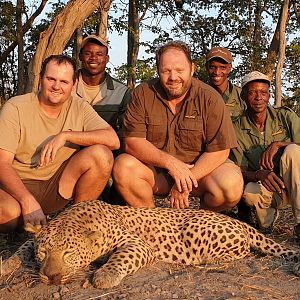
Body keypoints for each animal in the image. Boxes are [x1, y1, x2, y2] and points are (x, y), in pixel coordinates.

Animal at [1, 199, 298, 288]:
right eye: (44, 252)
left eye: (69, 253)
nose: (51, 277)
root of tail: (240, 222)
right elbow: (22, 248)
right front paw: (5, 265)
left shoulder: (136, 244)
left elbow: (120, 258)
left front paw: (104, 276)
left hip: (198, 230)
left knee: (244, 250)